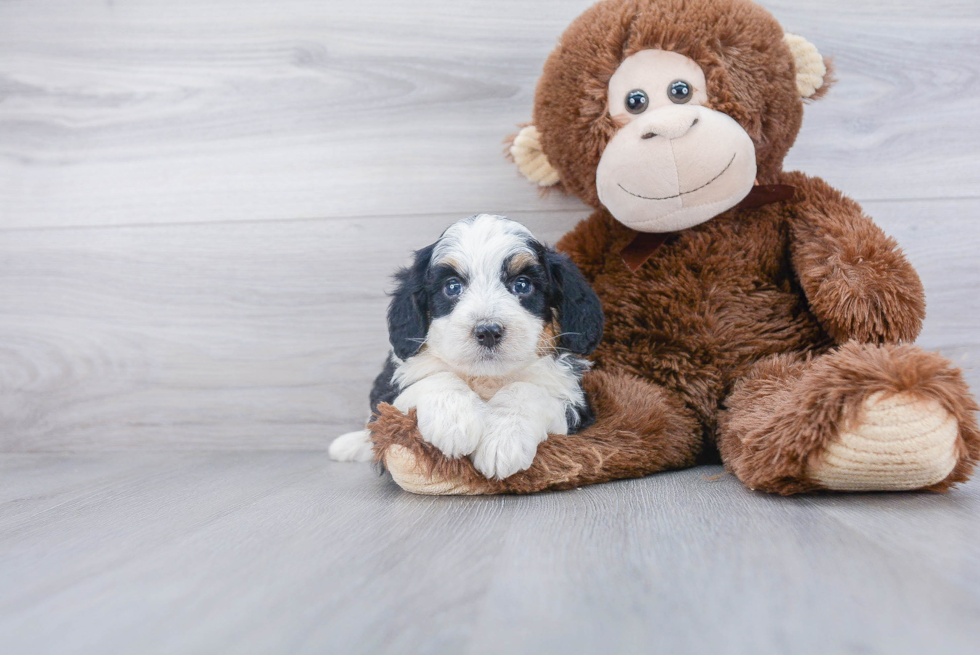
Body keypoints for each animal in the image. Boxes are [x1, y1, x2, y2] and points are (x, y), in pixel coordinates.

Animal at [332, 213, 604, 480]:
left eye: (522, 285)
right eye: (452, 287)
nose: (488, 332)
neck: (486, 377)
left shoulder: (576, 402)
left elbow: (526, 390)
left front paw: (503, 440)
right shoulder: (394, 388)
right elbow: (436, 378)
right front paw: (454, 422)